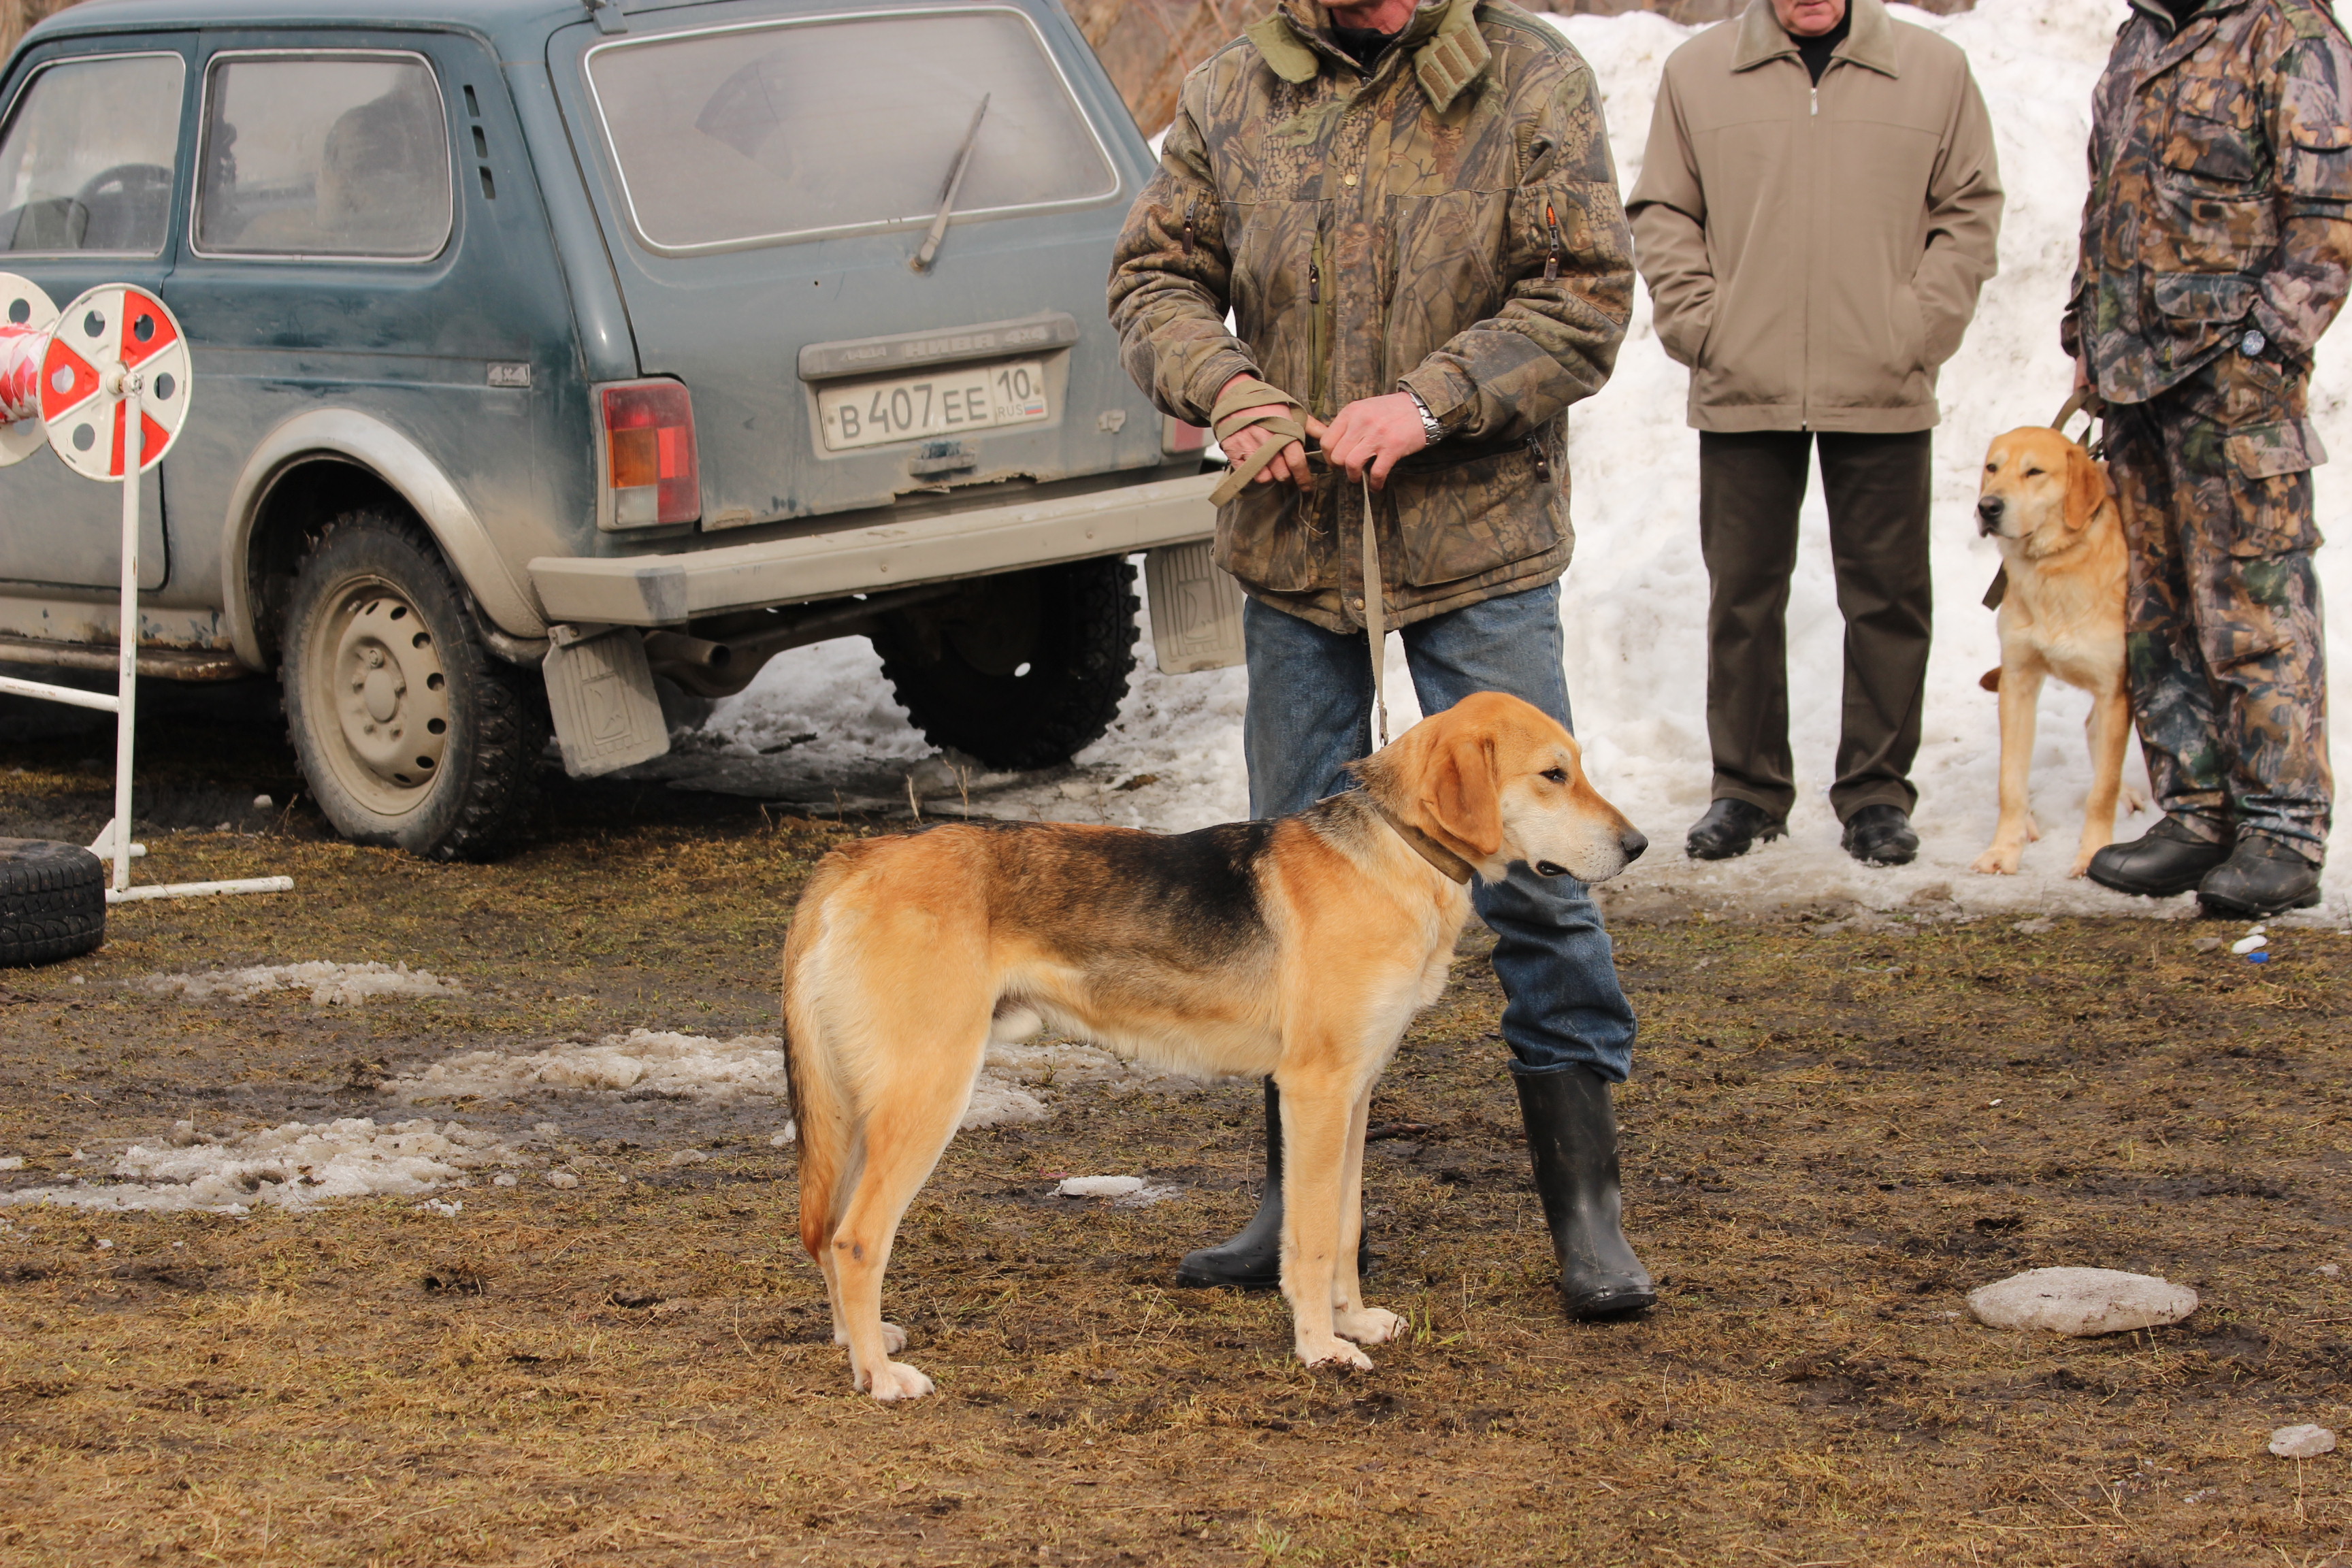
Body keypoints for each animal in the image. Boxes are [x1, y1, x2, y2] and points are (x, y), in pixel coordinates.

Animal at [781, 691, 1646, 1401]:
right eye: (1553, 775)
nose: (1638, 845)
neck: (1397, 849)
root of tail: (852, 859)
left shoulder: (1356, 1095)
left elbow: (1345, 1227)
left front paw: (1353, 1322)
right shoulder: (1316, 1091)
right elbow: (1309, 1241)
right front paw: (1321, 1349)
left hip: (862, 1111)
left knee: (828, 1232)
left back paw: (858, 1346)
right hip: (924, 1099)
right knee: (856, 1239)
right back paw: (880, 1378)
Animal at [1970, 426, 2138, 877]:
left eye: (2035, 472)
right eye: (1992, 467)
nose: (1987, 507)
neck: (2054, 568)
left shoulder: (2115, 691)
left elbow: (2104, 789)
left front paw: (2092, 853)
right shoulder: (2018, 681)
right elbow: (2009, 781)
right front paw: (2005, 848)